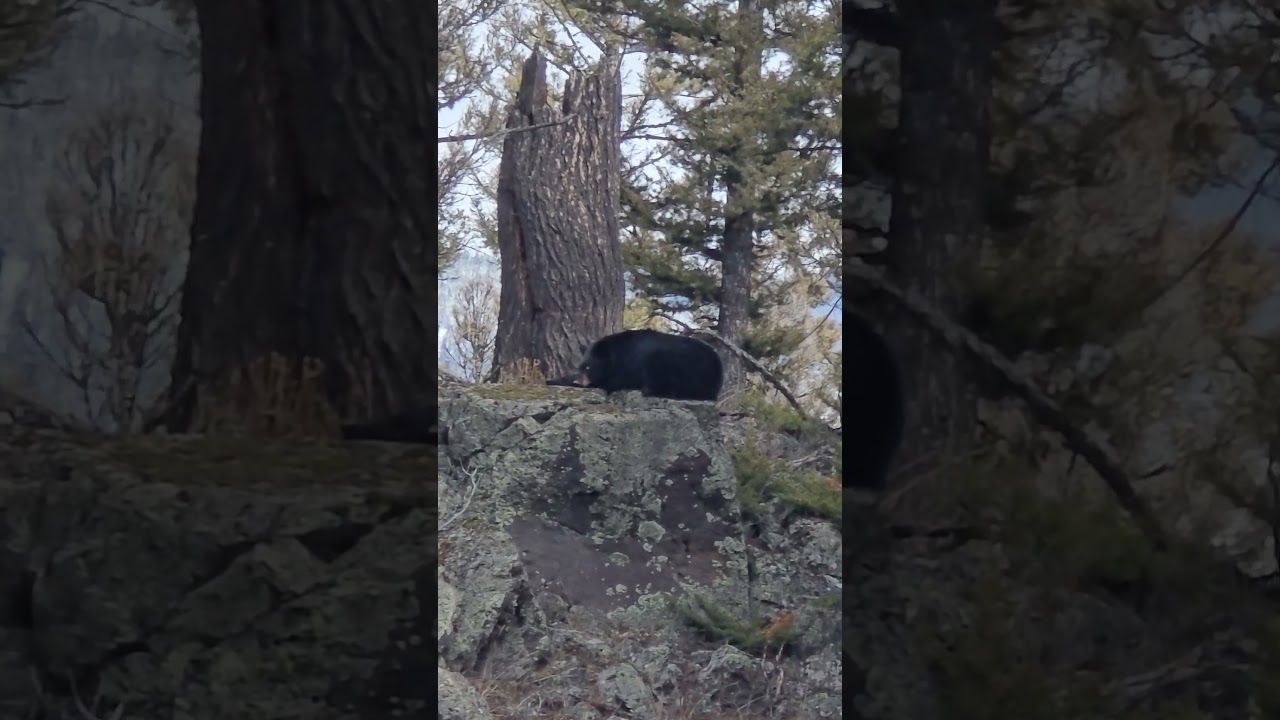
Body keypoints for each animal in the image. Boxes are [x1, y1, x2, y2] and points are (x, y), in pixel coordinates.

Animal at [547, 329, 724, 402]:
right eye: (580, 366)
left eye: (589, 367)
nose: (578, 381)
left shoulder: (627, 367)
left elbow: (609, 382)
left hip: (671, 362)